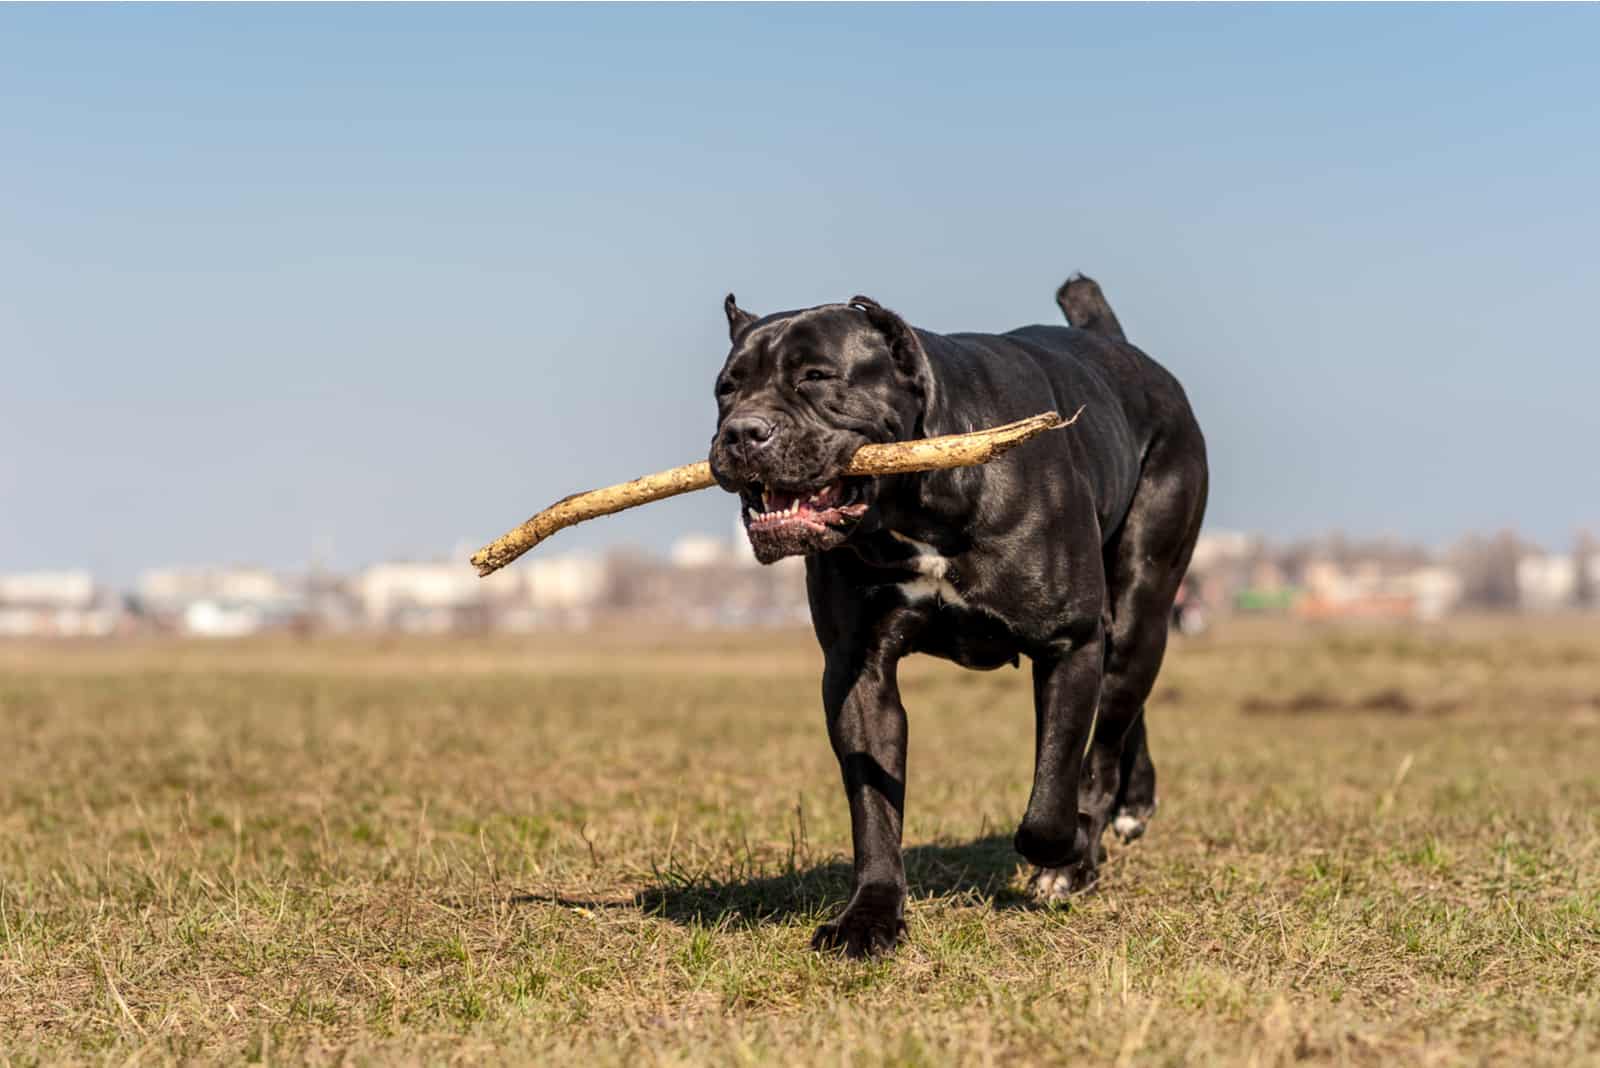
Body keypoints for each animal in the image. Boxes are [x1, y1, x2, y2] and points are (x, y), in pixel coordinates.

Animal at [707, 274, 1203, 959]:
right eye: (725, 389)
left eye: (816, 376)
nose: (741, 432)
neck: (912, 504)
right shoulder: (857, 673)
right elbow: (874, 809)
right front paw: (870, 916)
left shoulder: (1068, 644)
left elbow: (1049, 803)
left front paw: (1070, 850)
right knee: (1124, 717)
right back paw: (1136, 803)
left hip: (1141, 604)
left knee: (1107, 735)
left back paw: (1092, 840)